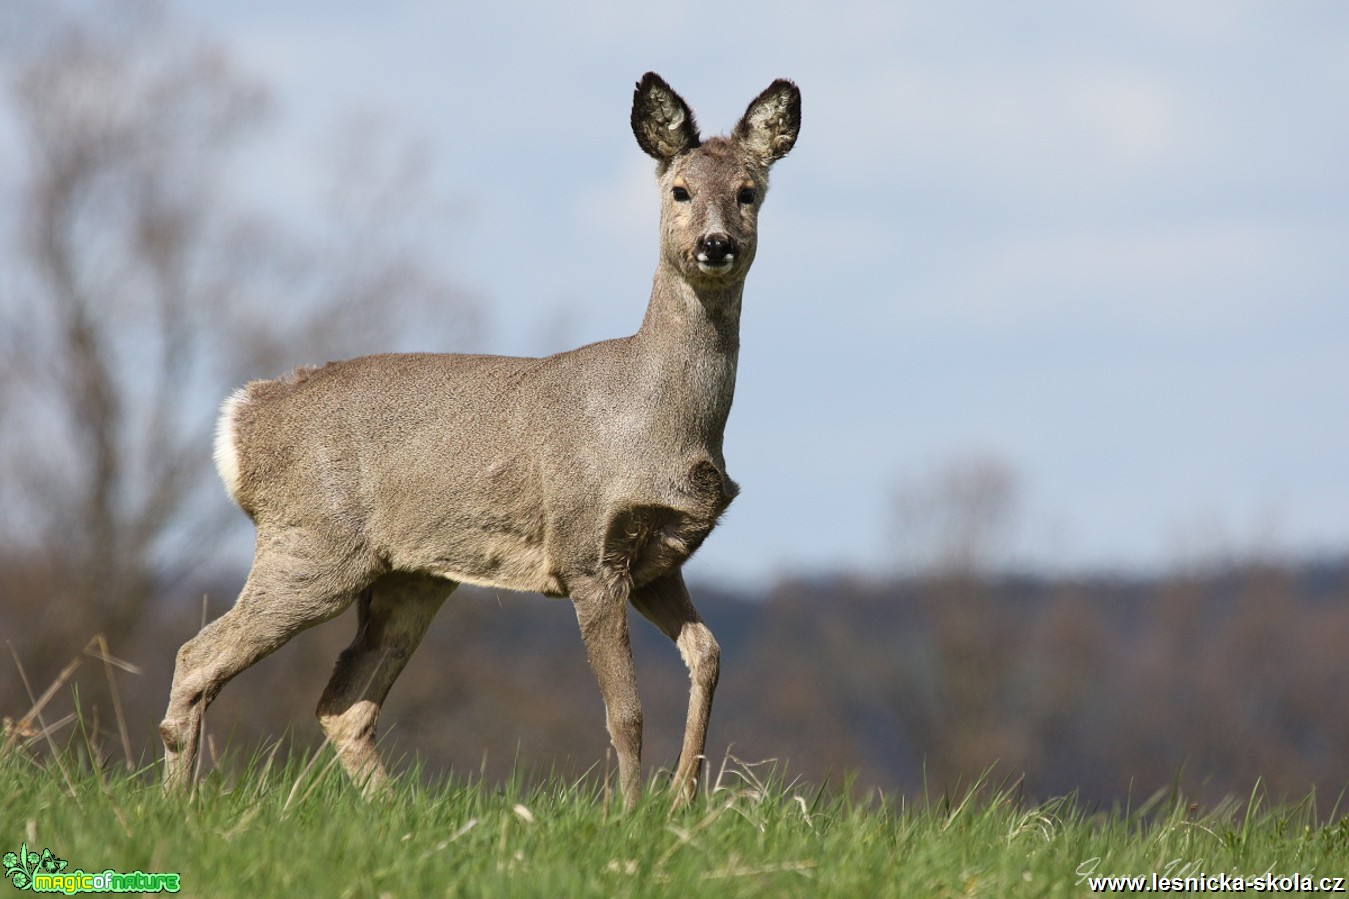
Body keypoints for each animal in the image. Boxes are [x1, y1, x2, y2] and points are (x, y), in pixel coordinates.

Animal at [164, 73, 804, 809]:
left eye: (748, 191)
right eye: (680, 190)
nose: (715, 244)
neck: (659, 419)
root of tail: (243, 417)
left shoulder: (658, 559)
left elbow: (708, 655)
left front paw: (681, 801)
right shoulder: (585, 547)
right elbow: (626, 708)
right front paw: (627, 812)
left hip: (409, 576)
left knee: (343, 703)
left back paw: (394, 809)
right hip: (312, 543)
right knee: (200, 655)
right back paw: (176, 800)